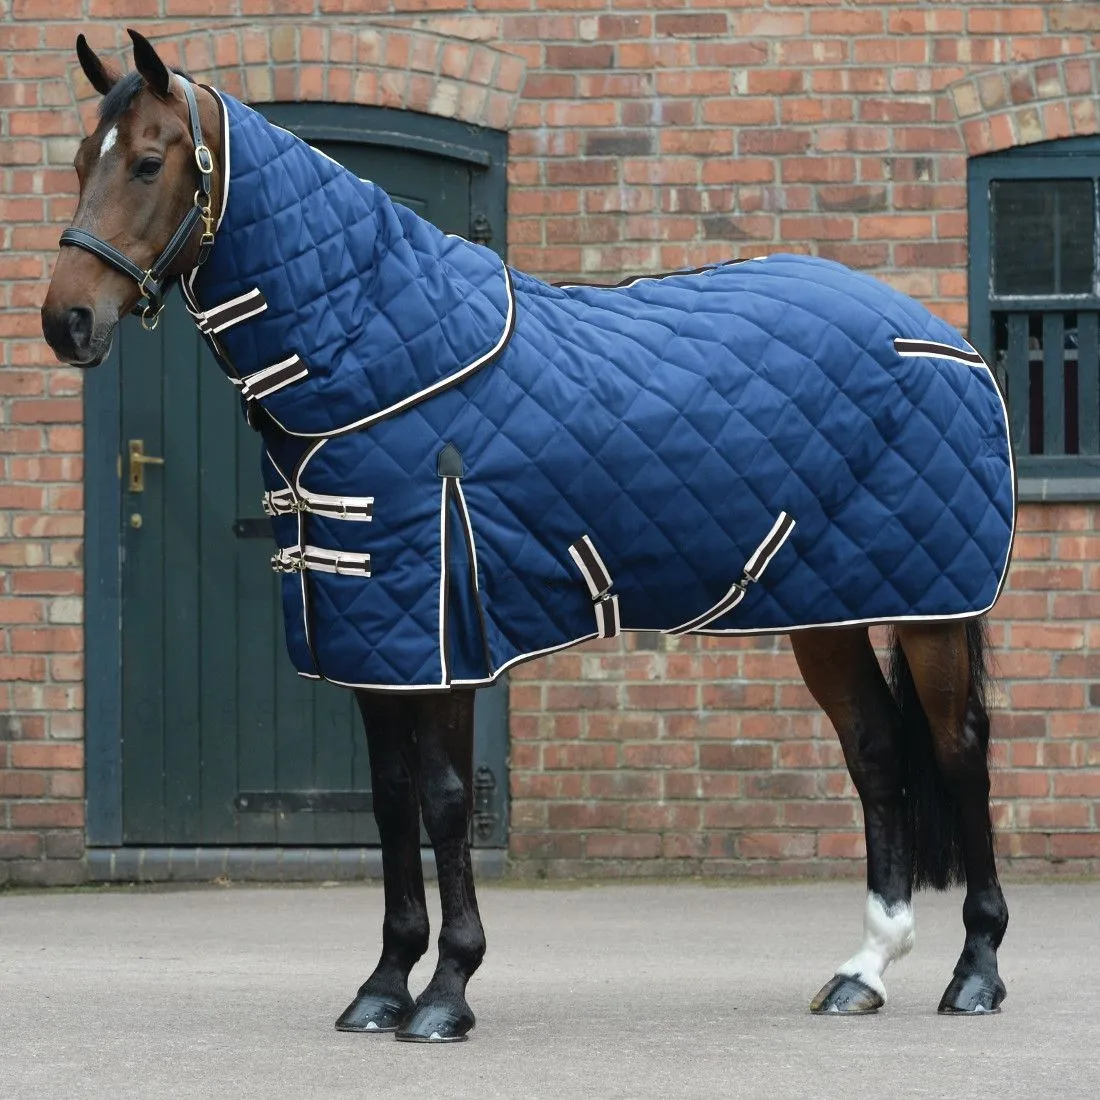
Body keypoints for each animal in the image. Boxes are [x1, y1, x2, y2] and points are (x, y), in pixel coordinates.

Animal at [42, 31, 1015, 1042]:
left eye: (148, 162)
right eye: (77, 162)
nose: (66, 321)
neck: (390, 363)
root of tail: (939, 336)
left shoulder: (446, 634)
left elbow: (443, 800)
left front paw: (446, 992)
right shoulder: (369, 637)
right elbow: (389, 803)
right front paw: (382, 987)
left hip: (933, 607)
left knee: (959, 750)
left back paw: (976, 971)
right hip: (827, 609)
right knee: (875, 750)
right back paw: (865, 969)